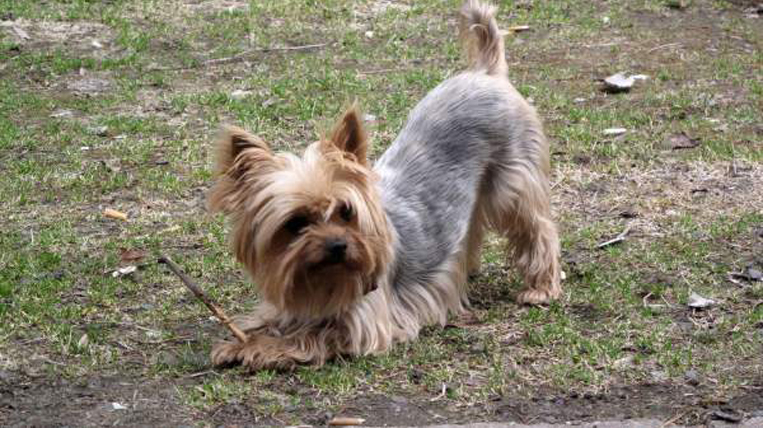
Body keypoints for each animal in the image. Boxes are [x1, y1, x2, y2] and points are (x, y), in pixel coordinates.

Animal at [207, 0, 560, 372]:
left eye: (346, 212)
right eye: (296, 223)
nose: (338, 246)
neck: (326, 282)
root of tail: (486, 72)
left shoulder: (364, 321)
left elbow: (309, 337)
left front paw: (257, 348)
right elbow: (267, 319)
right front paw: (239, 339)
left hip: (512, 184)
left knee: (538, 228)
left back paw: (541, 288)